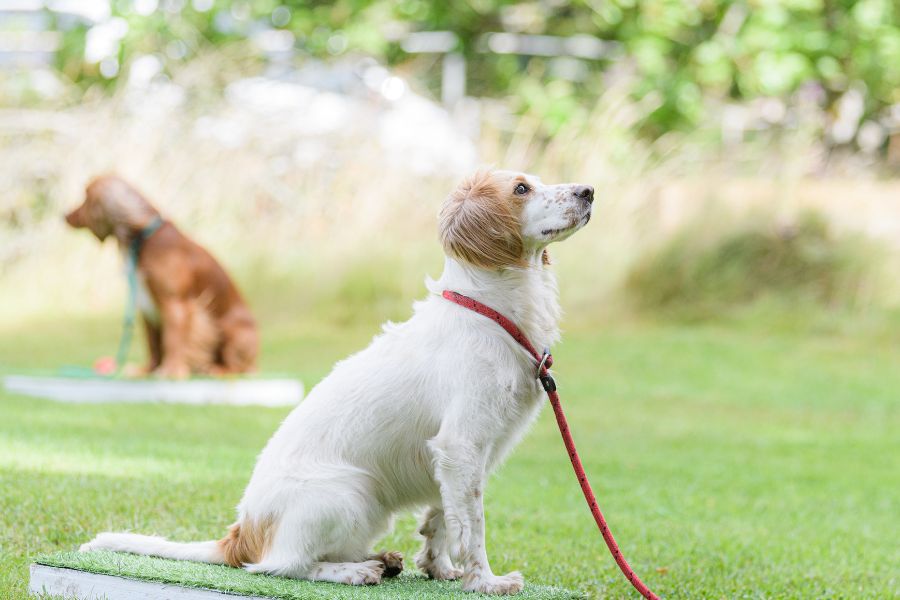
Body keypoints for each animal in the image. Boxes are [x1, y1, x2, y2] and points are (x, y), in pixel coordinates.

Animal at [65, 176, 256, 378]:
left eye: (86, 198)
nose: (65, 215)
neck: (144, 239)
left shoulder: (176, 305)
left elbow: (173, 340)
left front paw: (171, 370)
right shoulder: (148, 309)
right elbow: (154, 344)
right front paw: (147, 370)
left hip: (235, 332)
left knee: (239, 367)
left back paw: (215, 369)